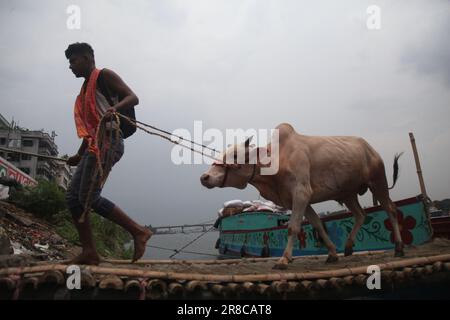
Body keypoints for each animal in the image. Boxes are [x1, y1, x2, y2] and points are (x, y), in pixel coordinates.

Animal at [200, 124, 404, 268]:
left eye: (235, 155)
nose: (204, 177)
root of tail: (370, 148)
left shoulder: (301, 193)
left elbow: (293, 227)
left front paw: (284, 260)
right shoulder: (299, 201)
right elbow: (318, 225)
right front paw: (332, 254)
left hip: (378, 181)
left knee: (390, 209)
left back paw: (399, 248)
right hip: (347, 194)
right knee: (361, 215)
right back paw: (347, 246)